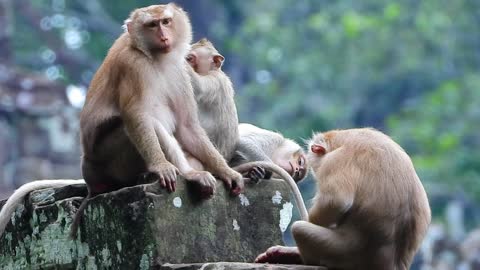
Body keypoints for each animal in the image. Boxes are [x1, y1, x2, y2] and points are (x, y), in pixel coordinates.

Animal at [72, 3, 244, 236]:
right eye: (152, 25)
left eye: (166, 21)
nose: (163, 37)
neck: (152, 55)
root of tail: (91, 179)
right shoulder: (133, 65)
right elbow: (136, 115)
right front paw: (161, 166)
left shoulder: (179, 71)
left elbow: (187, 126)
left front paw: (226, 172)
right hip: (107, 161)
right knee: (144, 123)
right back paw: (189, 174)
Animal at [256, 128, 434, 270]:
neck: (345, 137)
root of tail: (391, 264)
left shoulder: (336, 159)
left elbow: (336, 202)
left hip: (344, 254)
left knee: (299, 229)